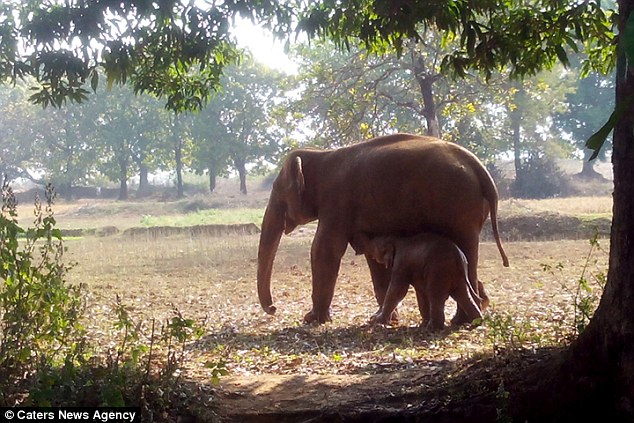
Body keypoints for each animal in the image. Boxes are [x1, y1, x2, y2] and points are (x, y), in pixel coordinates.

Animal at [256, 134, 508, 322]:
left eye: (277, 191)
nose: (274, 308)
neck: (320, 154)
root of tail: (479, 168)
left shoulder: (336, 200)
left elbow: (324, 249)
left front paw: (312, 319)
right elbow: (371, 257)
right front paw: (388, 318)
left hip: (457, 206)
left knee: (465, 247)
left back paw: (462, 320)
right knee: (469, 254)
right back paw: (473, 312)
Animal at [348, 232, 482, 332]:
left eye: (374, 245)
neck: (396, 239)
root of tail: (459, 256)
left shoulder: (401, 264)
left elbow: (399, 290)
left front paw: (377, 321)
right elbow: (420, 292)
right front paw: (423, 323)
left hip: (439, 270)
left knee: (436, 295)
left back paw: (432, 329)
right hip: (457, 274)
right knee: (463, 295)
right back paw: (476, 323)